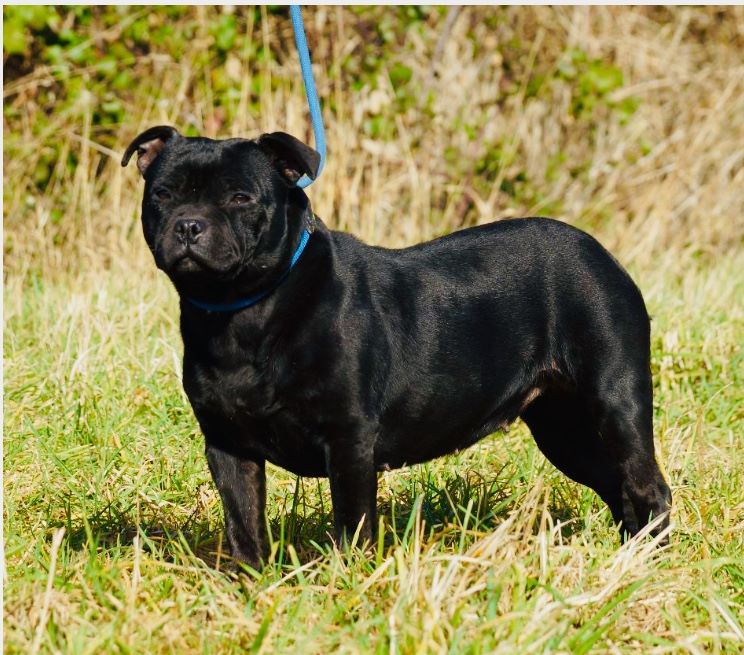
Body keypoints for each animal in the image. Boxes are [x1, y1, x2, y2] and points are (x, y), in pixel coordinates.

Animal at [123, 128, 676, 568]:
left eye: (240, 198)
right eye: (162, 194)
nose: (189, 224)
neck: (245, 310)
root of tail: (603, 254)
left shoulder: (348, 439)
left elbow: (351, 526)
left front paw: (346, 584)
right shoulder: (228, 445)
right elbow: (243, 526)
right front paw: (248, 586)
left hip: (614, 403)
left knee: (644, 485)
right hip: (563, 429)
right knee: (615, 487)